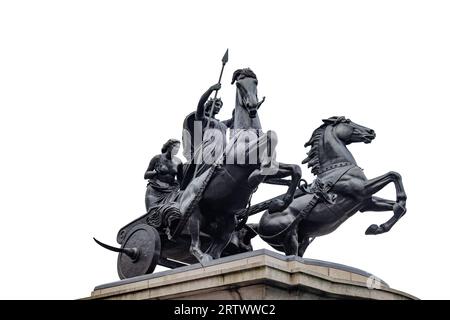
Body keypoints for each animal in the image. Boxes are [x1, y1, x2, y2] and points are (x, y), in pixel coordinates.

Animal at [253, 116, 408, 256]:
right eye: (347, 121)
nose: (371, 132)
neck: (337, 167)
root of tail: (258, 225)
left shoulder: (366, 203)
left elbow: (400, 207)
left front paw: (378, 227)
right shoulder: (362, 190)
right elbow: (393, 175)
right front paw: (381, 223)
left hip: (302, 239)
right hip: (289, 238)